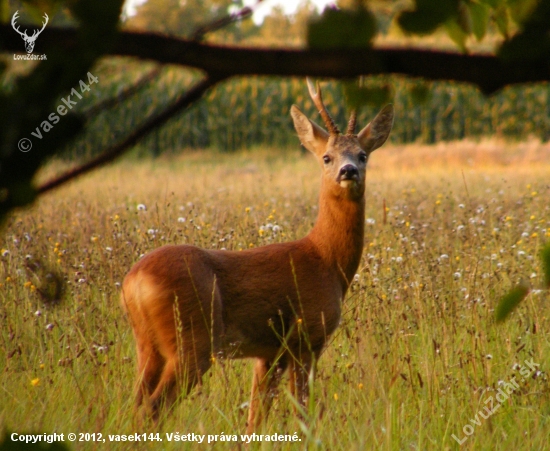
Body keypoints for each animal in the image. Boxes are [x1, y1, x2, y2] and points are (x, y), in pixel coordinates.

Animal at [122, 79, 394, 432]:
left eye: (363, 155)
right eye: (326, 157)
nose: (348, 171)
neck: (326, 260)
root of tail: (134, 281)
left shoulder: (269, 353)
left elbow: (255, 419)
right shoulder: (306, 338)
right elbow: (303, 414)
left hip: (148, 343)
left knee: (133, 405)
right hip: (191, 339)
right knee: (152, 408)